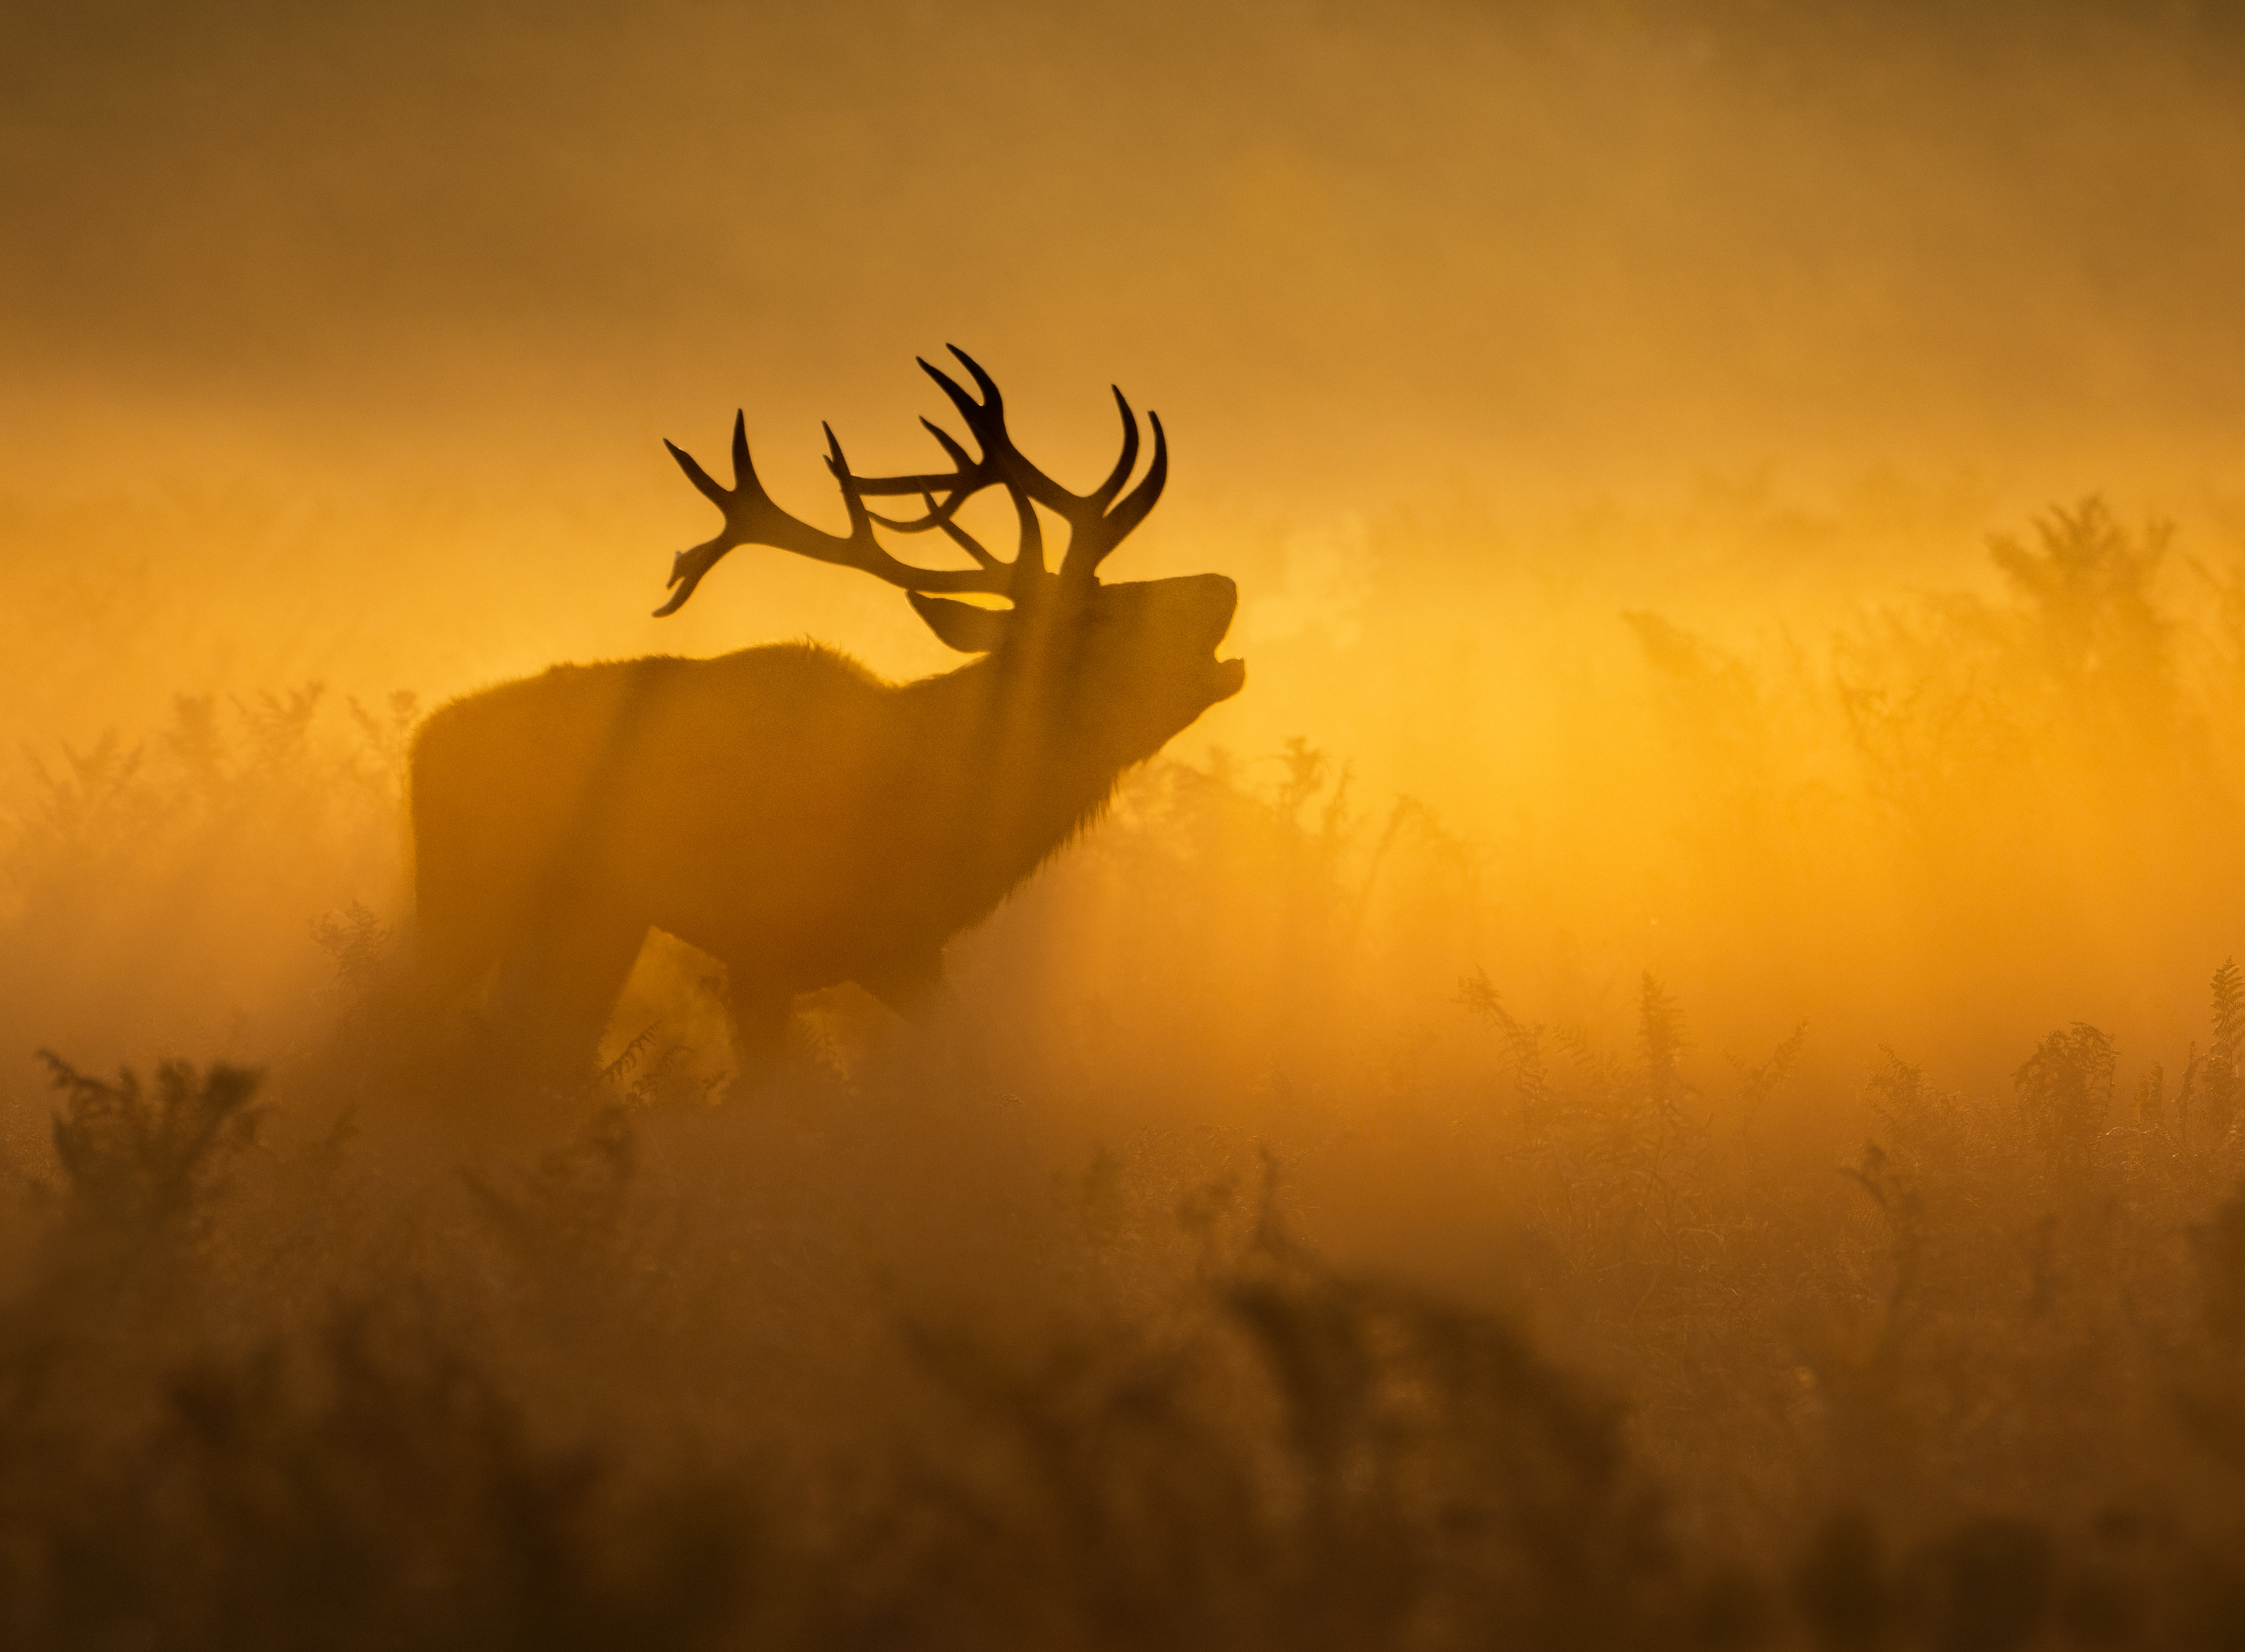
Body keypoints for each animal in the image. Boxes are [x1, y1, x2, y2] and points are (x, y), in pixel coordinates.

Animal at [409, 348, 1245, 1089]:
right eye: (1100, 618)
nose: (1223, 582)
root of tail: (423, 741)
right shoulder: (760, 952)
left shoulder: (905, 955)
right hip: (463, 890)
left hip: (593, 919)